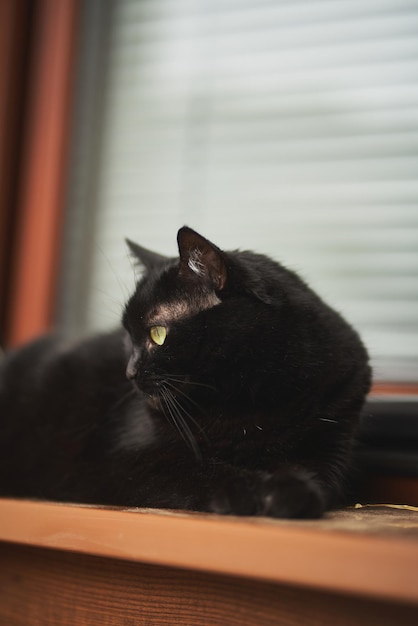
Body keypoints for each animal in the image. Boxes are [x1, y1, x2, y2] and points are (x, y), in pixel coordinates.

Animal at [0, 227, 372, 516]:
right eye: (127, 336)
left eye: (157, 334)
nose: (129, 372)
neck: (250, 402)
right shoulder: (122, 461)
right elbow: (195, 469)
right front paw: (245, 489)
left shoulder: (331, 439)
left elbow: (313, 474)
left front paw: (291, 493)